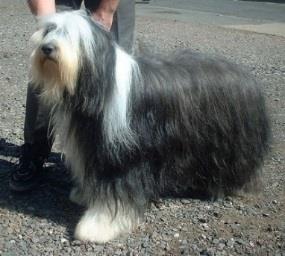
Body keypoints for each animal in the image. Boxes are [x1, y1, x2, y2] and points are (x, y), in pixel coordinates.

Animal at [30, 9, 270, 242]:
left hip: (228, 143)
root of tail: (248, 78)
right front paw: (84, 194)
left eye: (69, 34)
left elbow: (114, 195)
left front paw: (97, 227)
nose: (46, 48)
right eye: (49, 30)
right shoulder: (92, 147)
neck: (100, 85)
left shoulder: (121, 158)